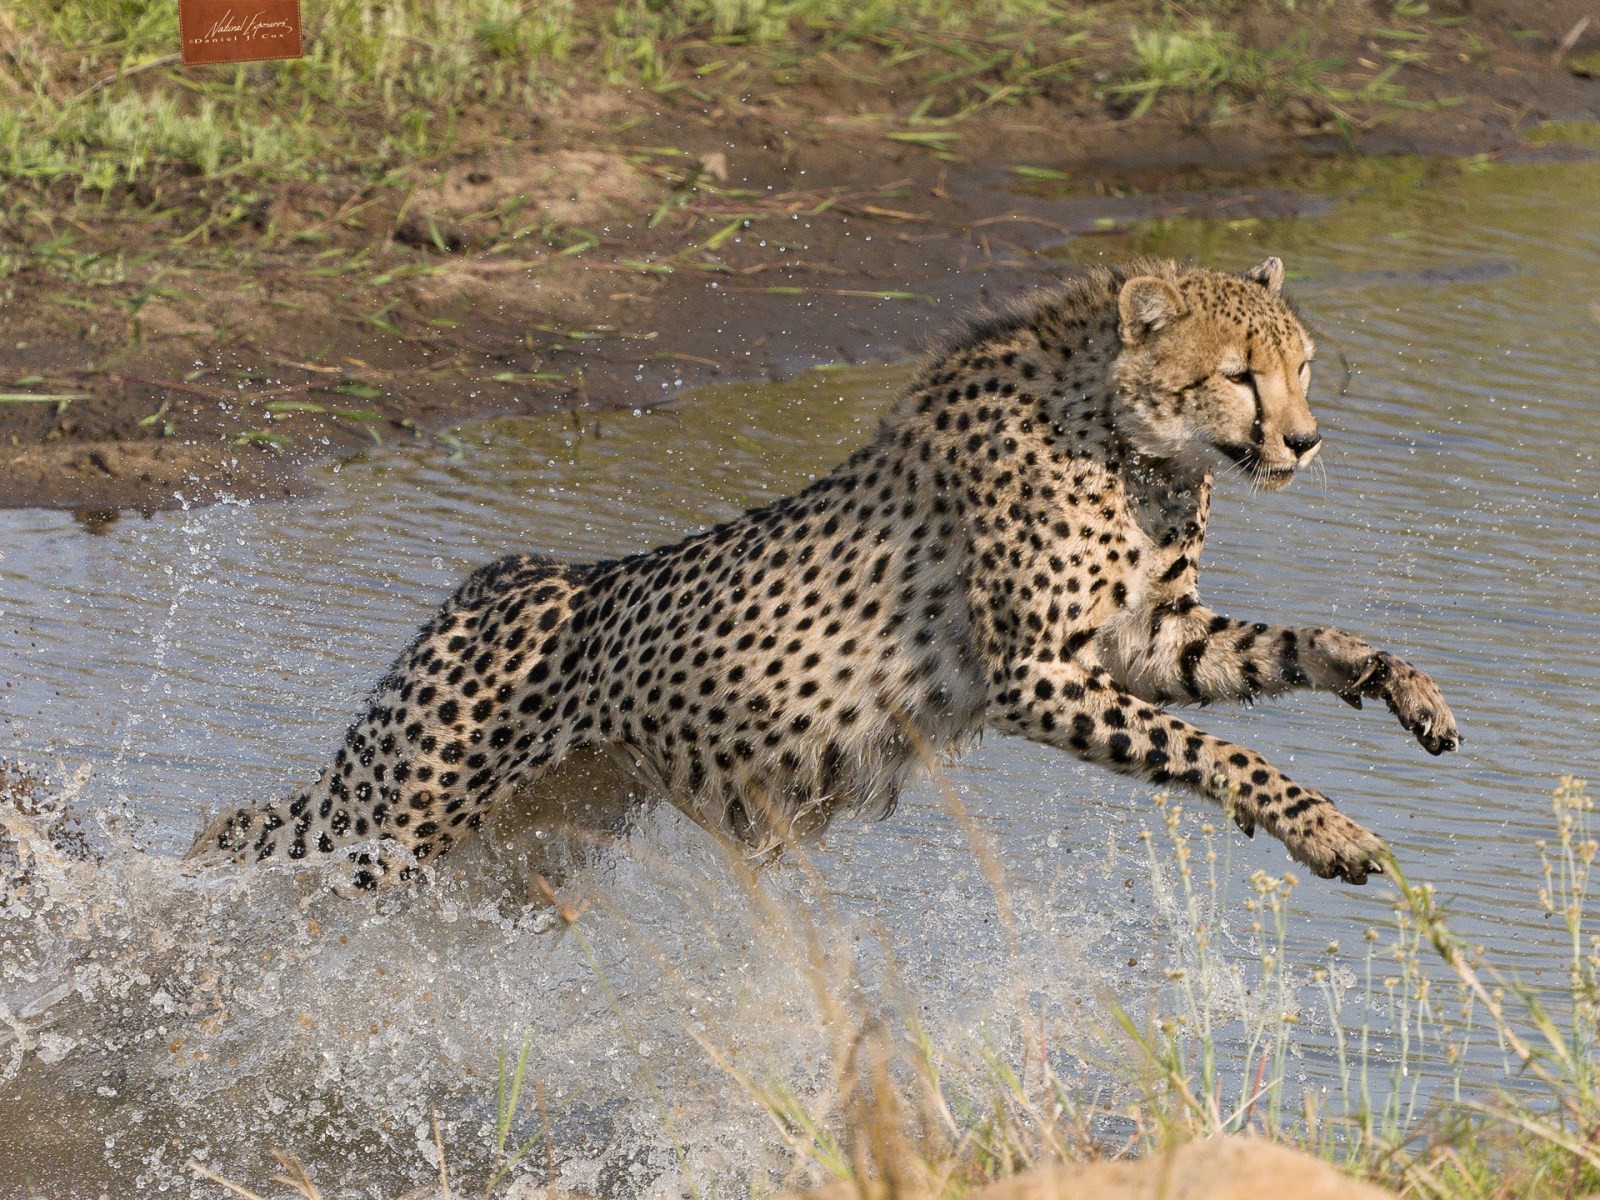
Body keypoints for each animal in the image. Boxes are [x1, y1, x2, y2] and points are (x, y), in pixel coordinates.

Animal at [188, 256, 1460, 891]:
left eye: (1303, 366)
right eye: (1241, 375)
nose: (1303, 440)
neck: (1128, 439)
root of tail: (501, 573)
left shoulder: (1146, 642)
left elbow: (1292, 649)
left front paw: (1397, 685)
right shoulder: (1037, 676)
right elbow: (1221, 753)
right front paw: (1328, 830)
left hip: (522, 847)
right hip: (394, 815)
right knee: (239, 838)